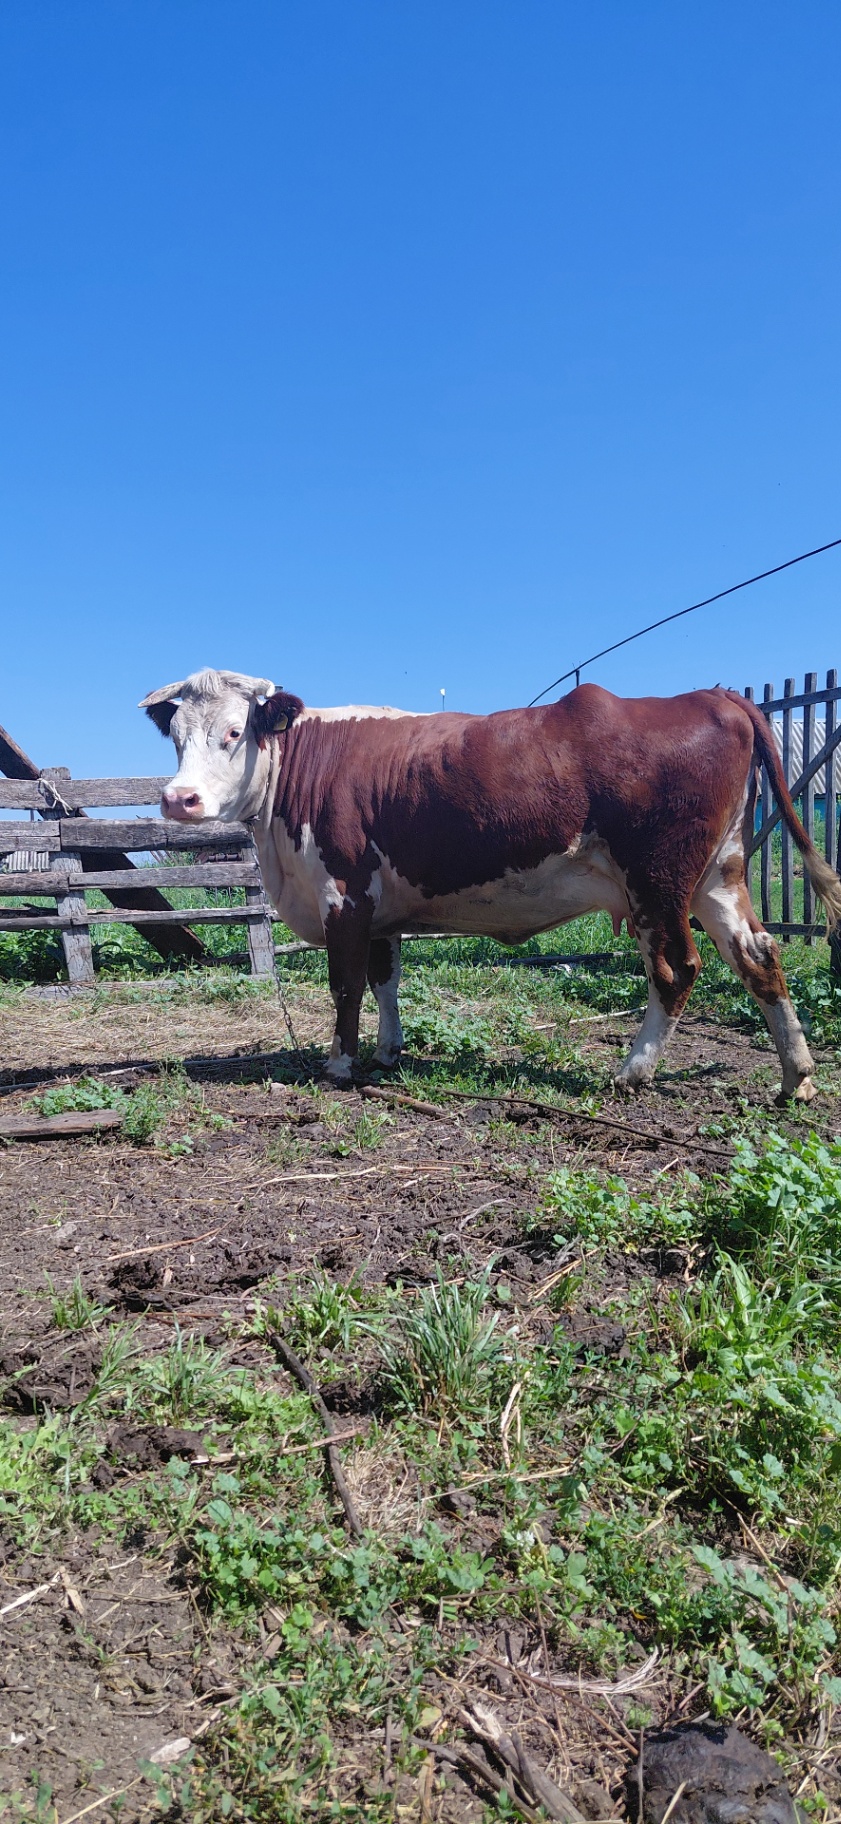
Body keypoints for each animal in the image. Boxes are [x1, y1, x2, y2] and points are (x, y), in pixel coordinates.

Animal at [140, 667, 841, 1100]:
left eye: (235, 733)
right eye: (175, 736)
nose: (179, 799)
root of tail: (710, 696)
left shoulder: (344, 895)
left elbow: (345, 985)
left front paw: (338, 1064)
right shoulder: (379, 908)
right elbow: (384, 979)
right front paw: (388, 1051)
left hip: (657, 881)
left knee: (676, 969)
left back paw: (632, 1071)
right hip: (717, 877)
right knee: (759, 955)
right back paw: (797, 1075)